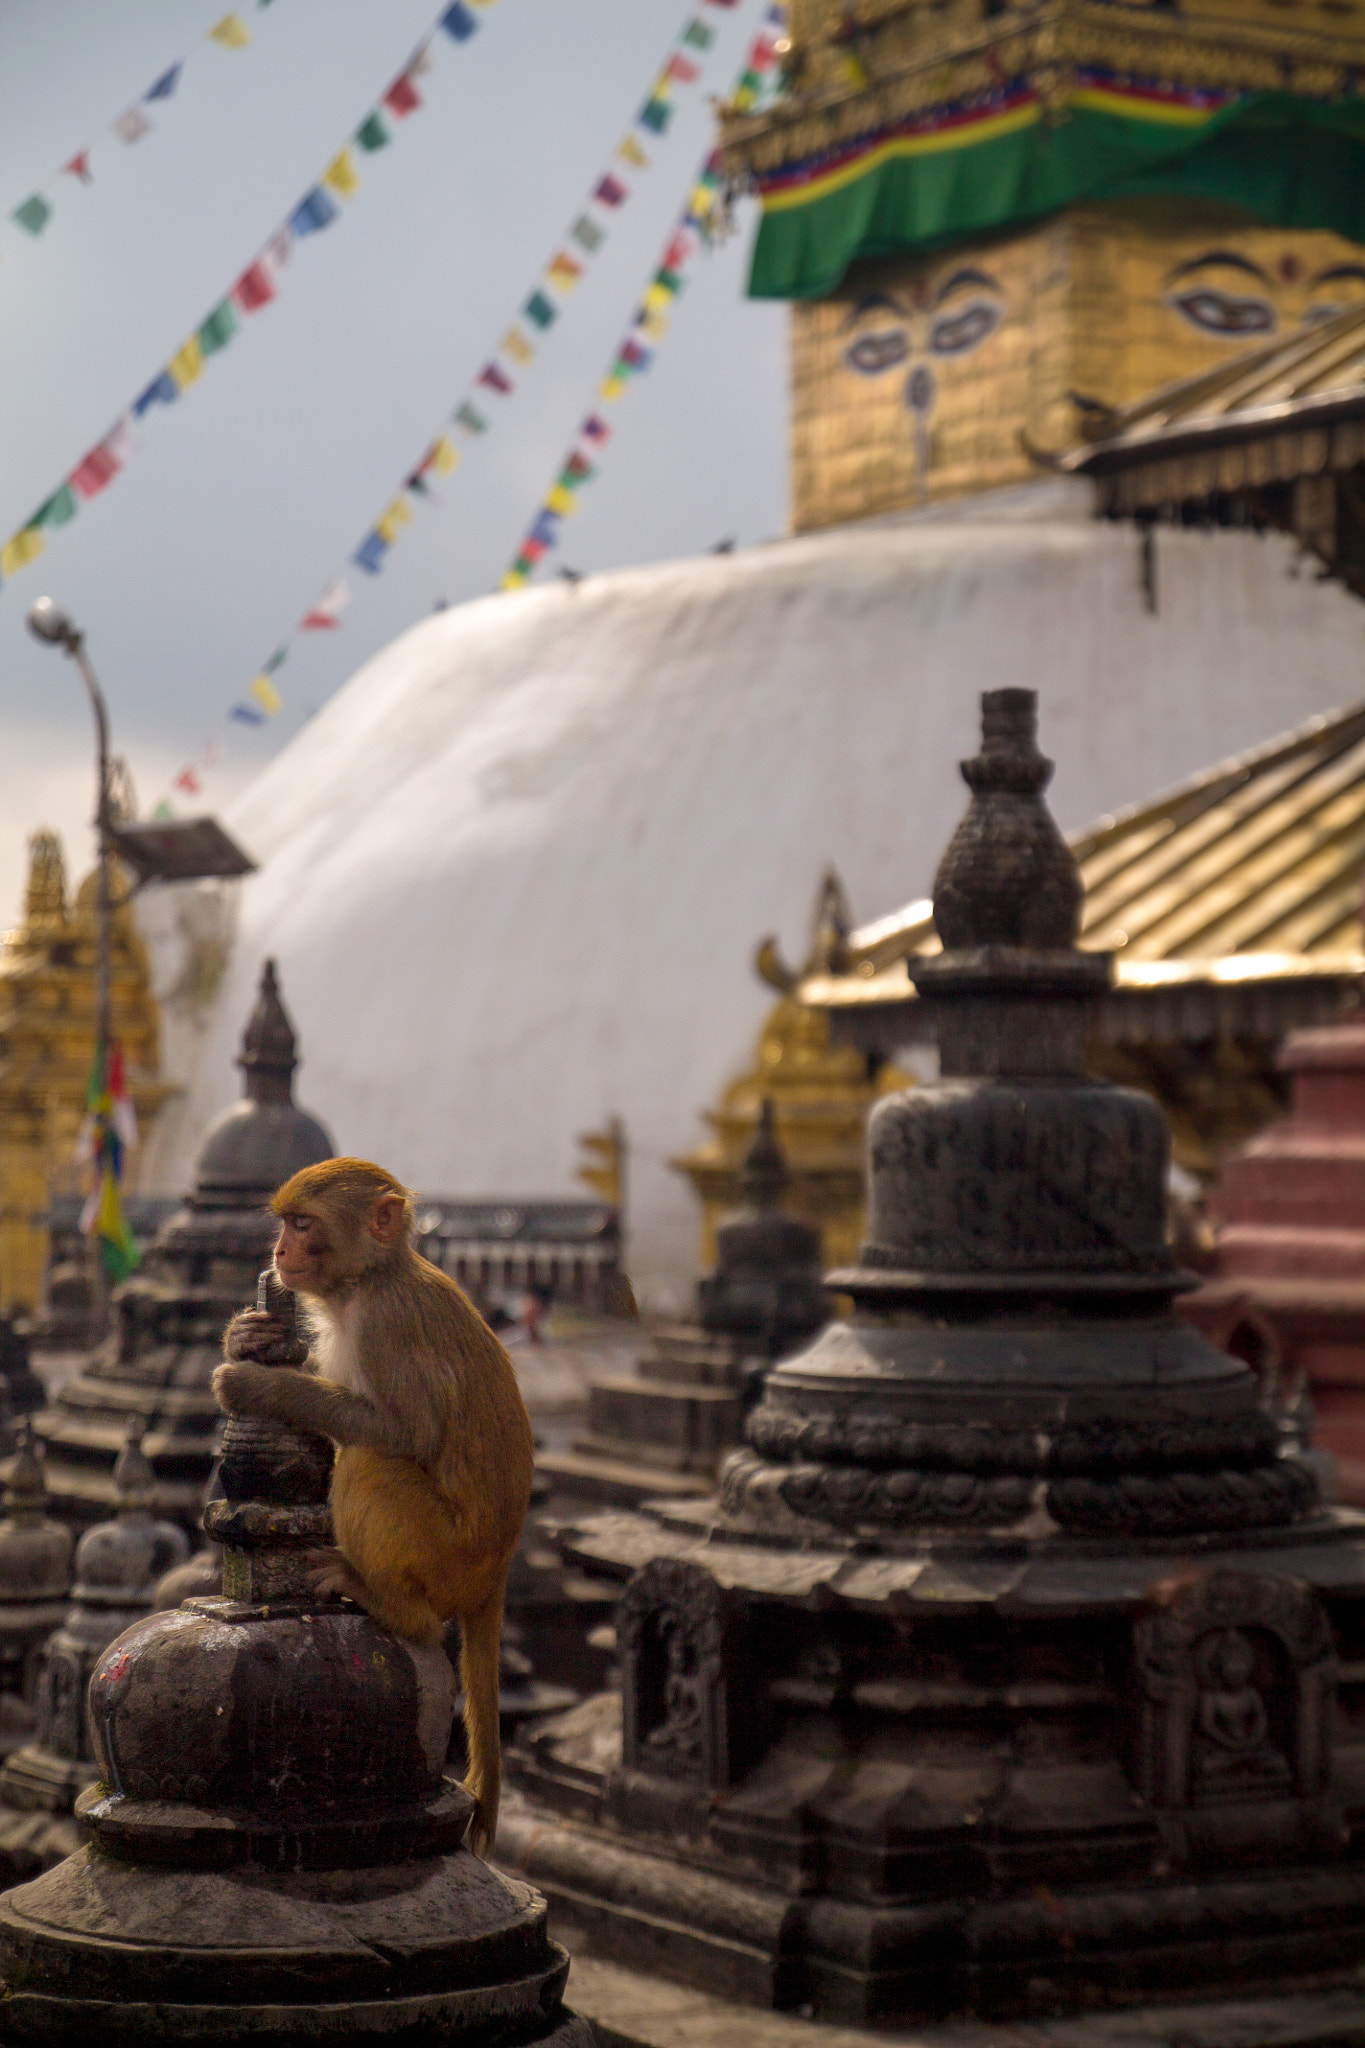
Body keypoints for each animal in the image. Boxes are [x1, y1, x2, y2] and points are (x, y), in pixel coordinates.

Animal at [211, 1157, 535, 1857]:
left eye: (304, 1225)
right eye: (284, 1224)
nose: (279, 1252)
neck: (367, 1281)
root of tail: (496, 1573)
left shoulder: (390, 1326)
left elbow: (402, 1433)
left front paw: (261, 1384)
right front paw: (243, 1335)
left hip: (443, 1553)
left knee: (369, 1461)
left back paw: (390, 1605)